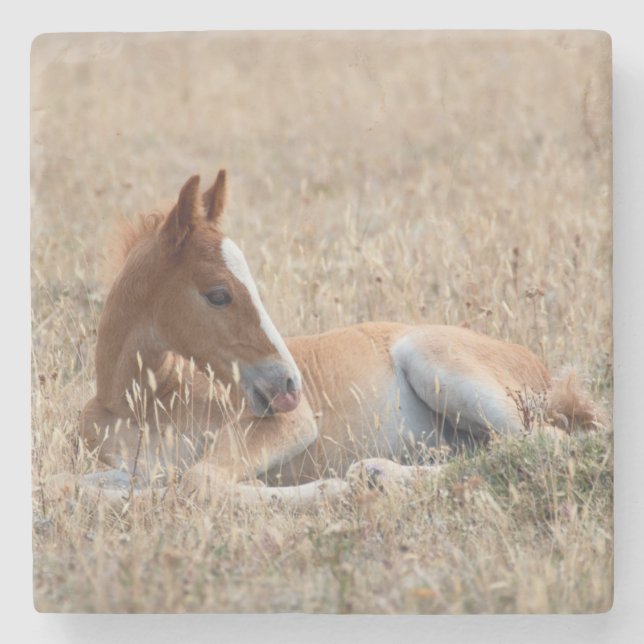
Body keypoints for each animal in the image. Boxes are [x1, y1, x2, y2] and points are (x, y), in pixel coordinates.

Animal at [70, 170, 600, 507]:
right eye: (218, 294)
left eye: (246, 285)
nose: (289, 385)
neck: (142, 400)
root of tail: (544, 373)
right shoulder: (131, 465)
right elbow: (77, 487)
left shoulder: (291, 424)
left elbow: (197, 482)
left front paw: (332, 492)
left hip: (439, 365)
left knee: (547, 441)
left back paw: (374, 474)